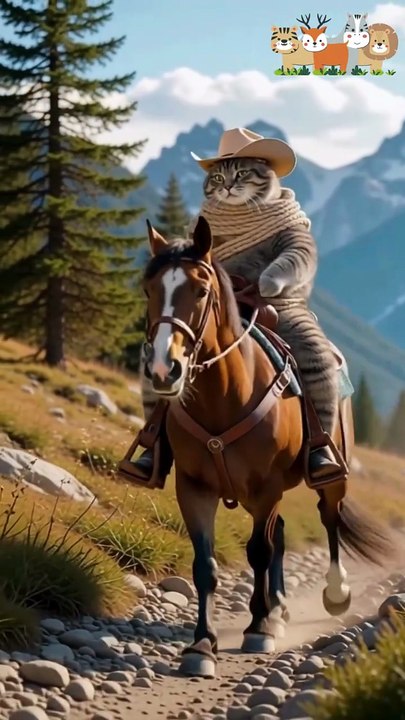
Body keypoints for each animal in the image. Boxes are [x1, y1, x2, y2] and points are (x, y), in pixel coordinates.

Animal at [140, 215, 393, 678]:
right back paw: (278, 608)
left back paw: (332, 594)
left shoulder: (265, 488)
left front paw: (257, 628)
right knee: (282, 531)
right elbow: (205, 565)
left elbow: (259, 551)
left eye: (200, 290)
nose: (165, 370)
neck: (224, 397)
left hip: (331, 478)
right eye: (150, 289)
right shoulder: (193, 488)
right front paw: (201, 646)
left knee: (327, 521)